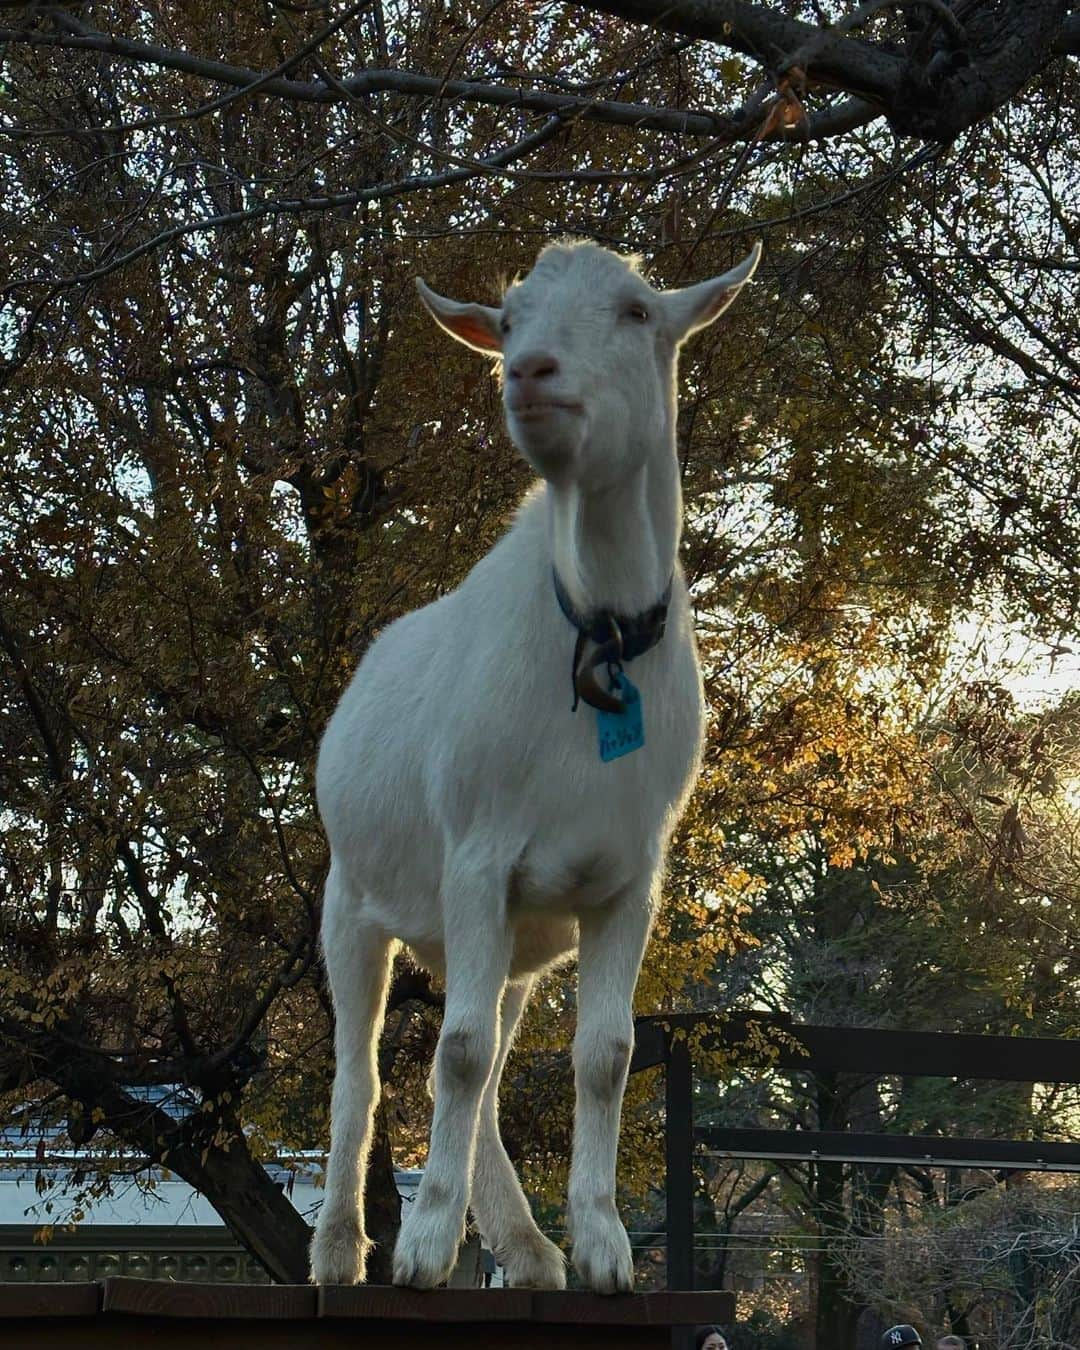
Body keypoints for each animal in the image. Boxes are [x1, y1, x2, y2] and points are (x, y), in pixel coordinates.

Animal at [307, 237, 761, 1290]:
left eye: (637, 312)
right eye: (508, 321)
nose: (528, 373)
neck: (597, 634)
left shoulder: (629, 880)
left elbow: (601, 1054)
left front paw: (601, 1246)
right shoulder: (476, 857)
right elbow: (459, 1053)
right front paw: (424, 1248)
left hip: (513, 938)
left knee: (492, 1060)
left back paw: (525, 1243)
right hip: (353, 900)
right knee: (362, 1071)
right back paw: (341, 1248)